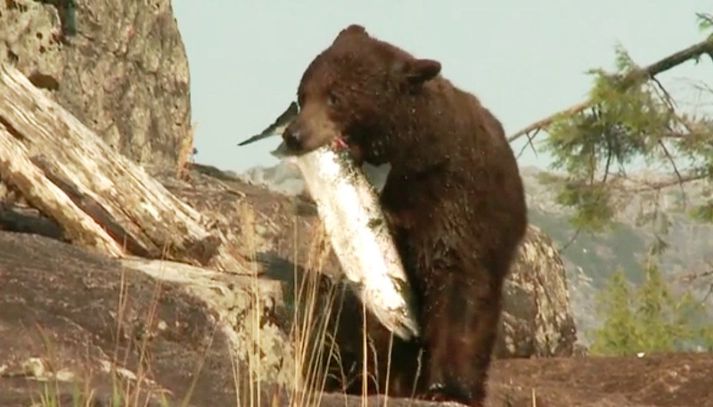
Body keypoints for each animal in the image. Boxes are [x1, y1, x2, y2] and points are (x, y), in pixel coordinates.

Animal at [280, 25, 524, 407]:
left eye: (335, 97)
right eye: (303, 93)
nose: (294, 135)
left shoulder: (457, 201)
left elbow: (460, 291)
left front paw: (446, 386)